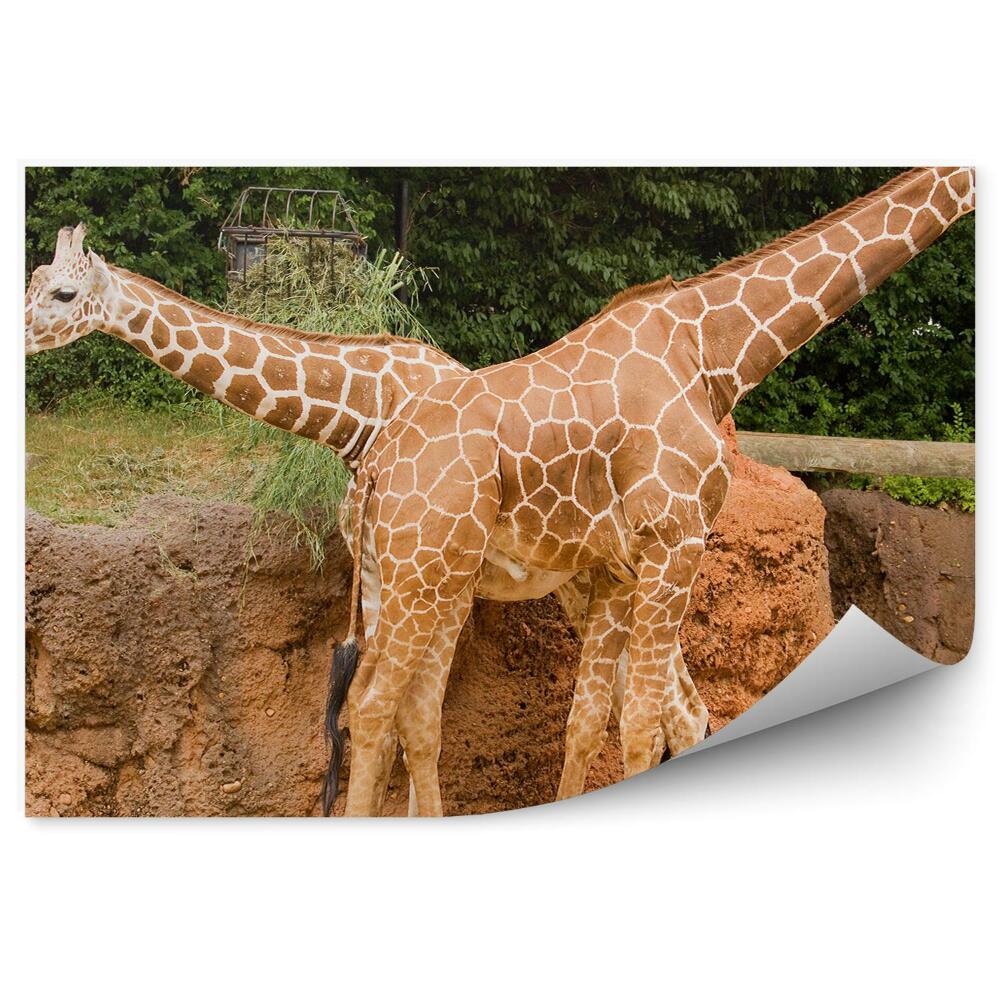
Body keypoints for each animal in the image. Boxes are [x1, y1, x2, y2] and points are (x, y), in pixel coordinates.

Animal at [332, 166, 975, 817]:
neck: (712, 350)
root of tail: (375, 464)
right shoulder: (676, 540)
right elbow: (644, 724)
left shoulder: (623, 566)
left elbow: (594, 720)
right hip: (424, 576)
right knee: (374, 705)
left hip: (409, 577)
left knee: (380, 706)